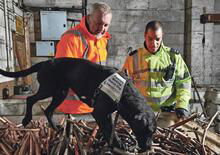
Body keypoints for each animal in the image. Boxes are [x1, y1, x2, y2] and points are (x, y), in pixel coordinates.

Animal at [0, 58, 156, 151]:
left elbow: (109, 129)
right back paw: (26, 119)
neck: (125, 92)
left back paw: (55, 128)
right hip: (48, 88)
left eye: (153, 132)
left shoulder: (107, 114)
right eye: (146, 131)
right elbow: (108, 130)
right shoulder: (99, 113)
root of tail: (45, 62)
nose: (148, 148)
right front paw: (118, 145)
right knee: (30, 99)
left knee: (48, 110)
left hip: (60, 93)